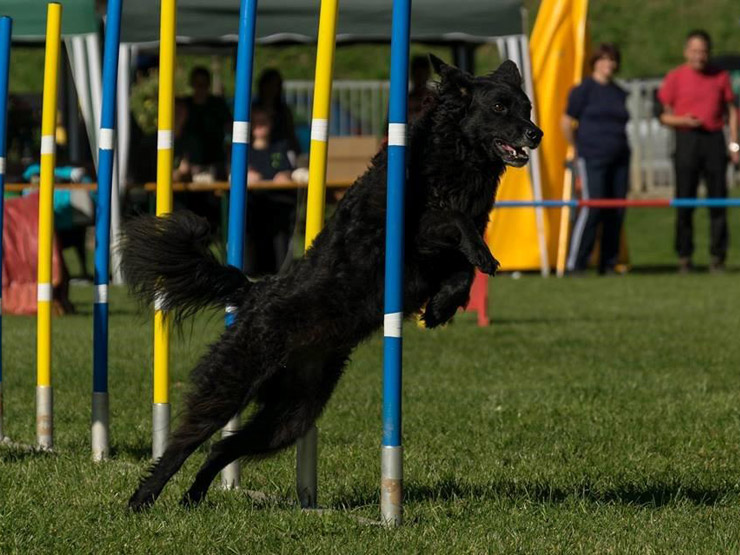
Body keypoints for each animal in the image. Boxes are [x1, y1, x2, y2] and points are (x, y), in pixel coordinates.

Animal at [121, 55, 542, 510]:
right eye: (499, 108)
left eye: (527, 108)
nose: (535, 134)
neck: (453, 158)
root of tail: (256, 290)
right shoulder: (408, 229)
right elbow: (453, 219)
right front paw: (478, 258)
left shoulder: (436, 260)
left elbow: (463, 270)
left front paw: (441, 307)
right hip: (235, 382)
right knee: (184, 442)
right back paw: (142, 499)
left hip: (292, 414)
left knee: (222, 447)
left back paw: (193, 497)